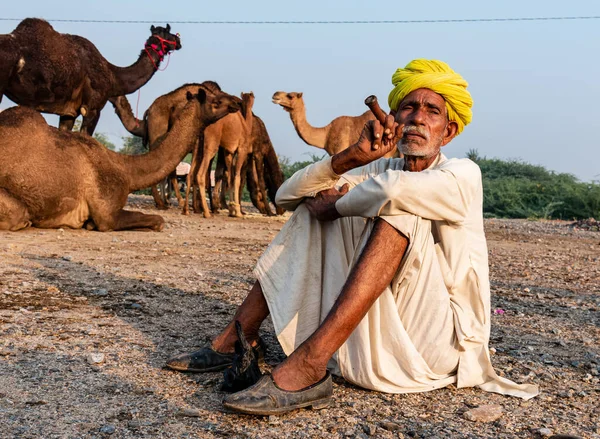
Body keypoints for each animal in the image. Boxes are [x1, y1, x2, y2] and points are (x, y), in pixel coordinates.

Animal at [0, 87, 239, 234]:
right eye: (216, 100)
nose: (237, 101)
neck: (126, 169)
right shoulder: (107, 212)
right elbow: (158, 221)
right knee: (20, 215)